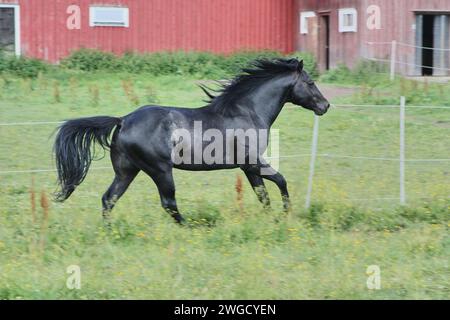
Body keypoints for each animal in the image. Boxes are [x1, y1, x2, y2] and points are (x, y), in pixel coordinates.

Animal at [53, 58, 330, 222]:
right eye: (310, 82)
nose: (325, 106)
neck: (246, 111)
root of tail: (123, 120)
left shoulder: (248, 167)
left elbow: (263, 195)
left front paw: (271, 218)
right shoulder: (252, 162)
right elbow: (280, 181)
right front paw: (286, 213)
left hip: (126, 171)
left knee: (108, 199)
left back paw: (109, 233)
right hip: (160, 170)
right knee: (169, 203)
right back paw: (193, 228)